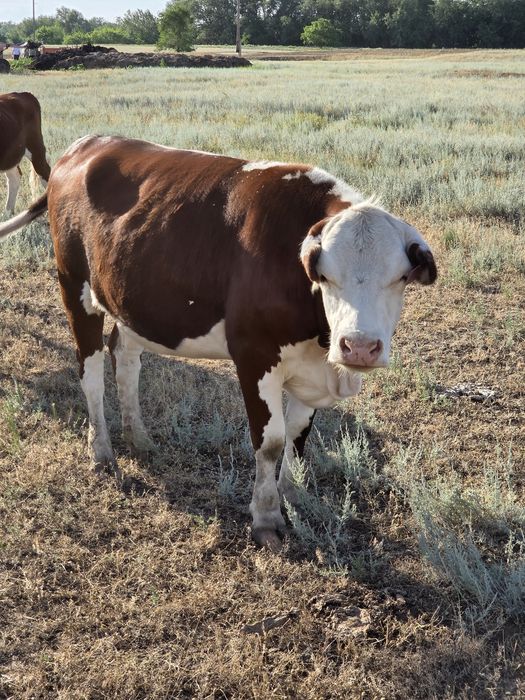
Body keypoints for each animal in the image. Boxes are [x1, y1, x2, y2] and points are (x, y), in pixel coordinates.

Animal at [0, 135, 437, 550]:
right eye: (325, 276)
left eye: (400, 277)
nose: (358, 346)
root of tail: (85, 146)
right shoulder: (255, 355)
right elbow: (271, 441)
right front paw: (266, 517)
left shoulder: (312, 368)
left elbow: (298, 438)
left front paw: (293, 495)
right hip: (75, 287)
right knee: (90, 374)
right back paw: (102, 451)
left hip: (134, 300)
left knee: (125, 359)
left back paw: (138, 436)